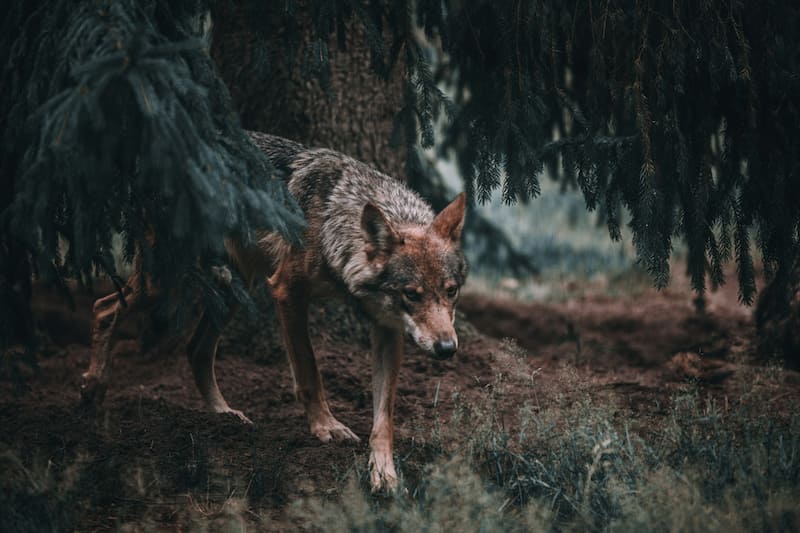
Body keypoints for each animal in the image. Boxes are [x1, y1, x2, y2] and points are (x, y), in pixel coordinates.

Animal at [80, 131, 468, 490]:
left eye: (451, 292)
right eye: (411, 295)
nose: (448, 349)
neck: (333, 221)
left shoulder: (387, 328)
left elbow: (384, 415)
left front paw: (384, 473)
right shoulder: (286, 291)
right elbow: (310, 371)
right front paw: (326, 427)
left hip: (235, 288)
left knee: (196, 349)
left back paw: (224, 416)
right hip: (168, 279)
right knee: (103, 308)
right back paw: (92, 396)